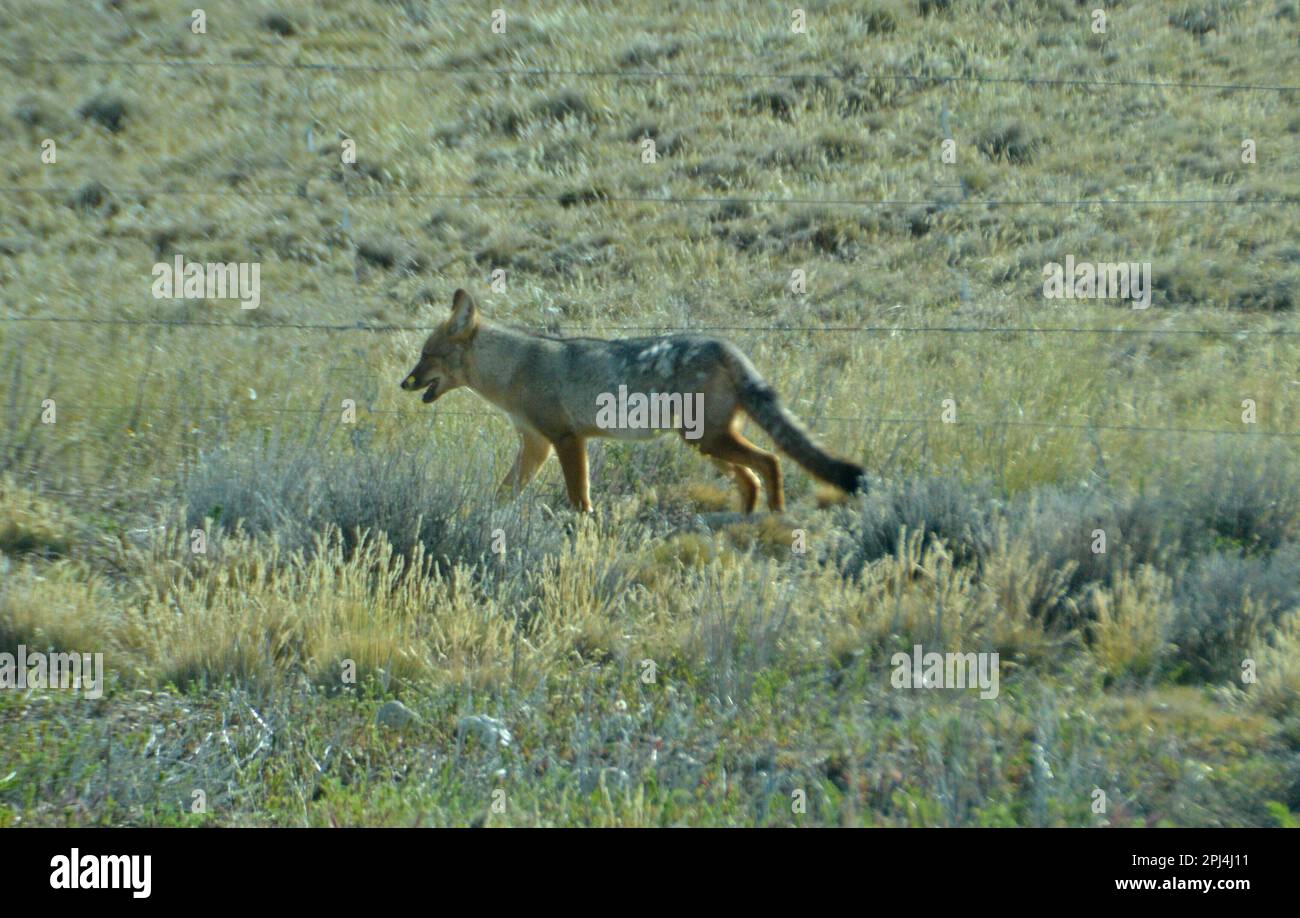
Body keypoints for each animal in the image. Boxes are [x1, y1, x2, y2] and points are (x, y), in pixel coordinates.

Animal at [399, 289, 867, 513]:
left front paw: (584, 532)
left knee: (769, 463)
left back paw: (774, 520)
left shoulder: (566, 440)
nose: (404, 382)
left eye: (427, 355)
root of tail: (722, 343)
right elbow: (501, 494)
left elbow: (579, 498)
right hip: (706, 445)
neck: (515, 368)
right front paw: (482, 519)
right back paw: (744, 525)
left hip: (707, 442)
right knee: (751, 477)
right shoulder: (536, 445)